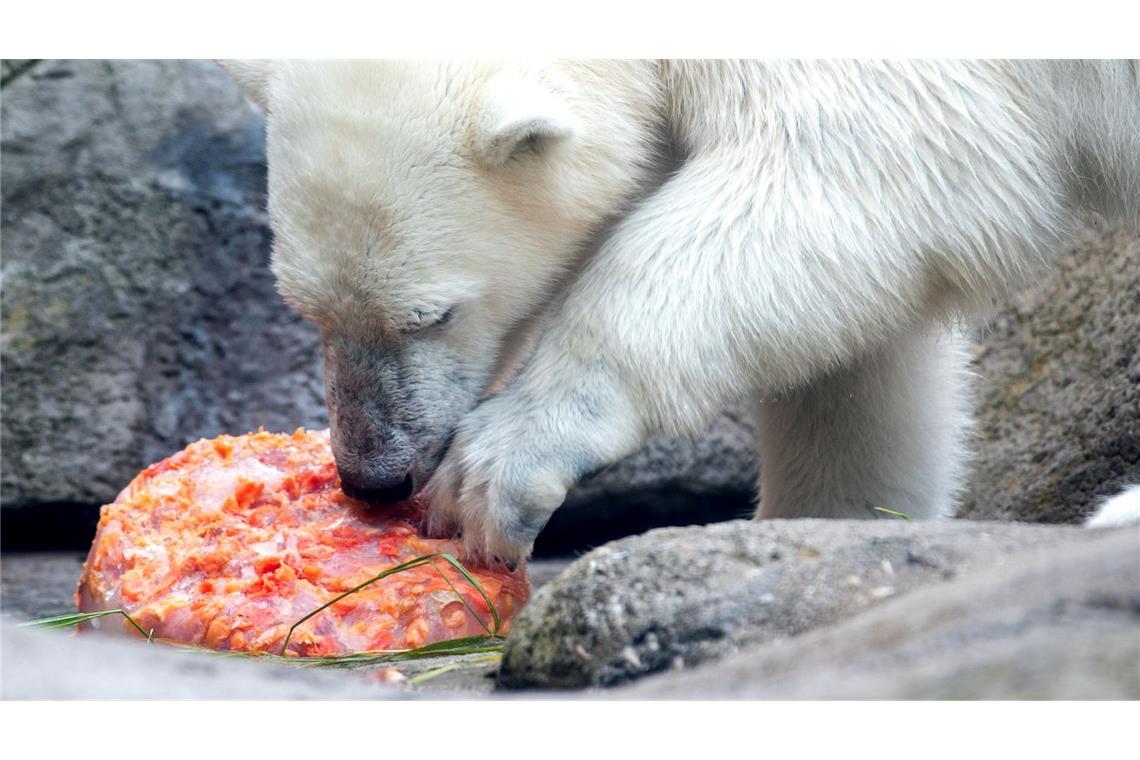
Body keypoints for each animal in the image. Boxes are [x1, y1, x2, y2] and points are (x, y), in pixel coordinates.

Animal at [220, 60, 1140, 565]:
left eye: (431, 315)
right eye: (307, 310)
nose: (374, 478)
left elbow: (847, 168)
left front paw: (500, 465)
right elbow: (859, 353)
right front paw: (824, 526)